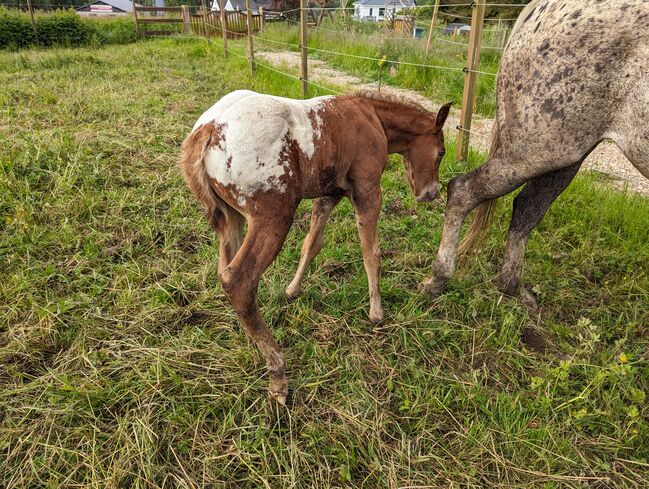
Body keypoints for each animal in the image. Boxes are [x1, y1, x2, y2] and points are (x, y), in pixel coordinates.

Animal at [180, 89, 448, 402]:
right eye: (441, 152)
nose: (430, 194)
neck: (372, 116)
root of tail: (208, 129)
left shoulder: (330, 193)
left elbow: (312, 244)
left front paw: (292, 290)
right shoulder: (367, 189)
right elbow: (371, 252)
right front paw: (376, 314)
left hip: (230, 218)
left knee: (225, 270)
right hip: (274, 215)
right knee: (239, 282)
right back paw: (278, 375)